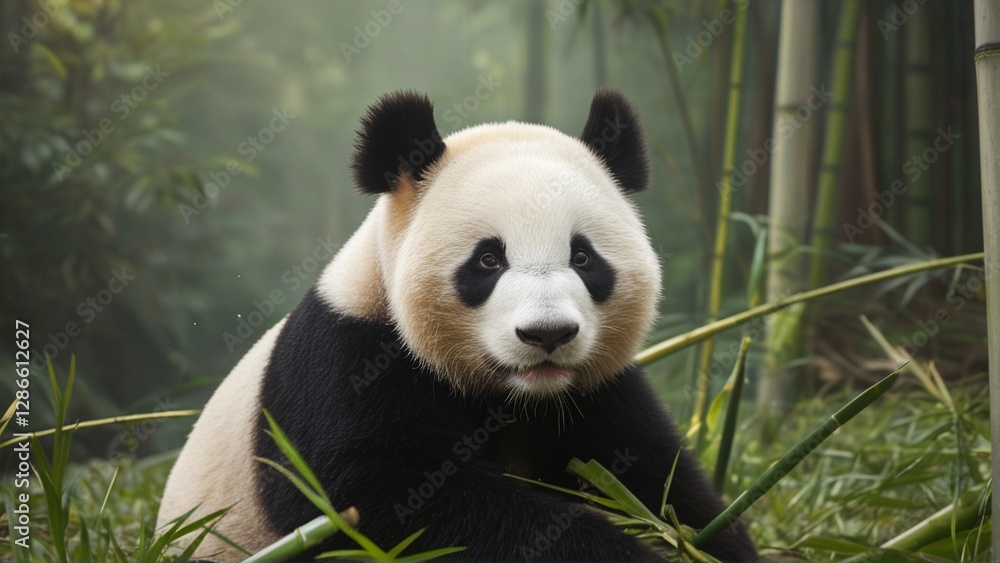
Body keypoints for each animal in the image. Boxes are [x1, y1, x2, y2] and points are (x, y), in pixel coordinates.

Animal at [157, 88, 757, 561]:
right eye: (488, 260)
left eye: (584, 258)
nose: (547, 335)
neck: (516, 397)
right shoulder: (342, 364)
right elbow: (384, 508)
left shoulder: (600, 389)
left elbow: (657, 478)